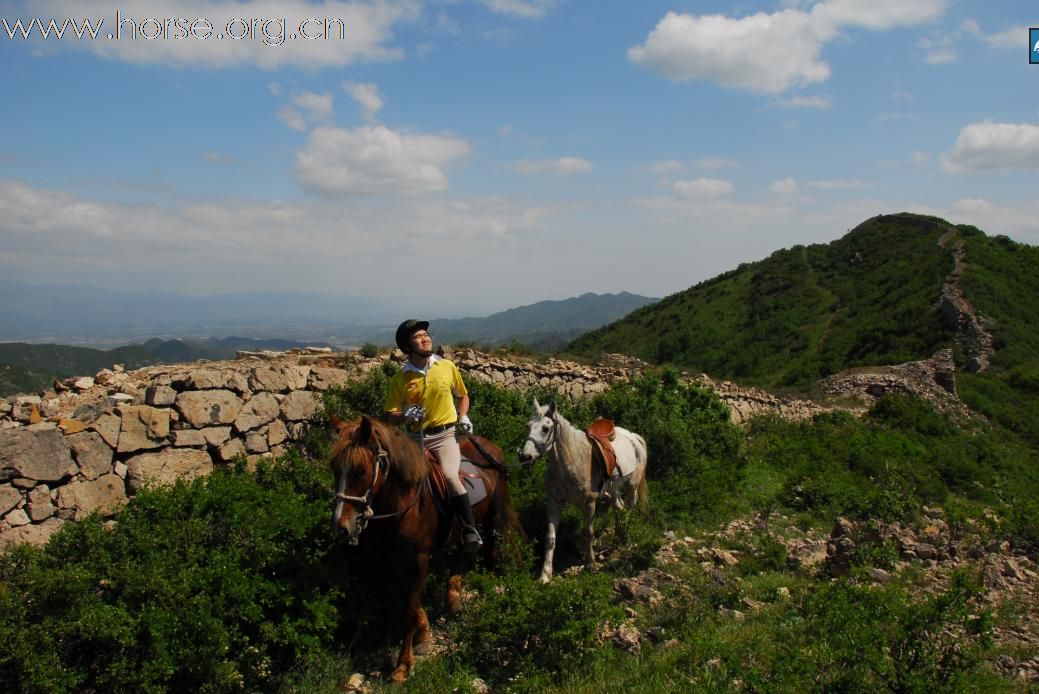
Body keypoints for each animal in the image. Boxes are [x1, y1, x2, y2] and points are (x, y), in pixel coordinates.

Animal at [330, 415, 523, 681]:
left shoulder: (420, 558)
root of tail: (490, 447)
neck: (404, 501)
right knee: (463, 553)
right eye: (334, 468)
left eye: (361, 470)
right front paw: (423, 637)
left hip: (496, 514)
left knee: (492, 548)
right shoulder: (395, 558)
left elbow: (409, 612)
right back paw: (453, 599)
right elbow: (411, 603)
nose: (341, 527)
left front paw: (402, 667)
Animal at [519, 398, 648, 581]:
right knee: (619, 508)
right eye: (528, 425)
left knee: (629, 507)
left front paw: (590, 564)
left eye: (546, 428)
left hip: (631, 486)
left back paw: (624, 536)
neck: (572, 461)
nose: (525, 456)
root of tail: (633, 437)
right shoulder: (554, 502)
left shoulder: (589, 504)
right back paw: (619, 534)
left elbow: (587, 533)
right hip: (612, 491)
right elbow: (550, 537)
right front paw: (545, 575)